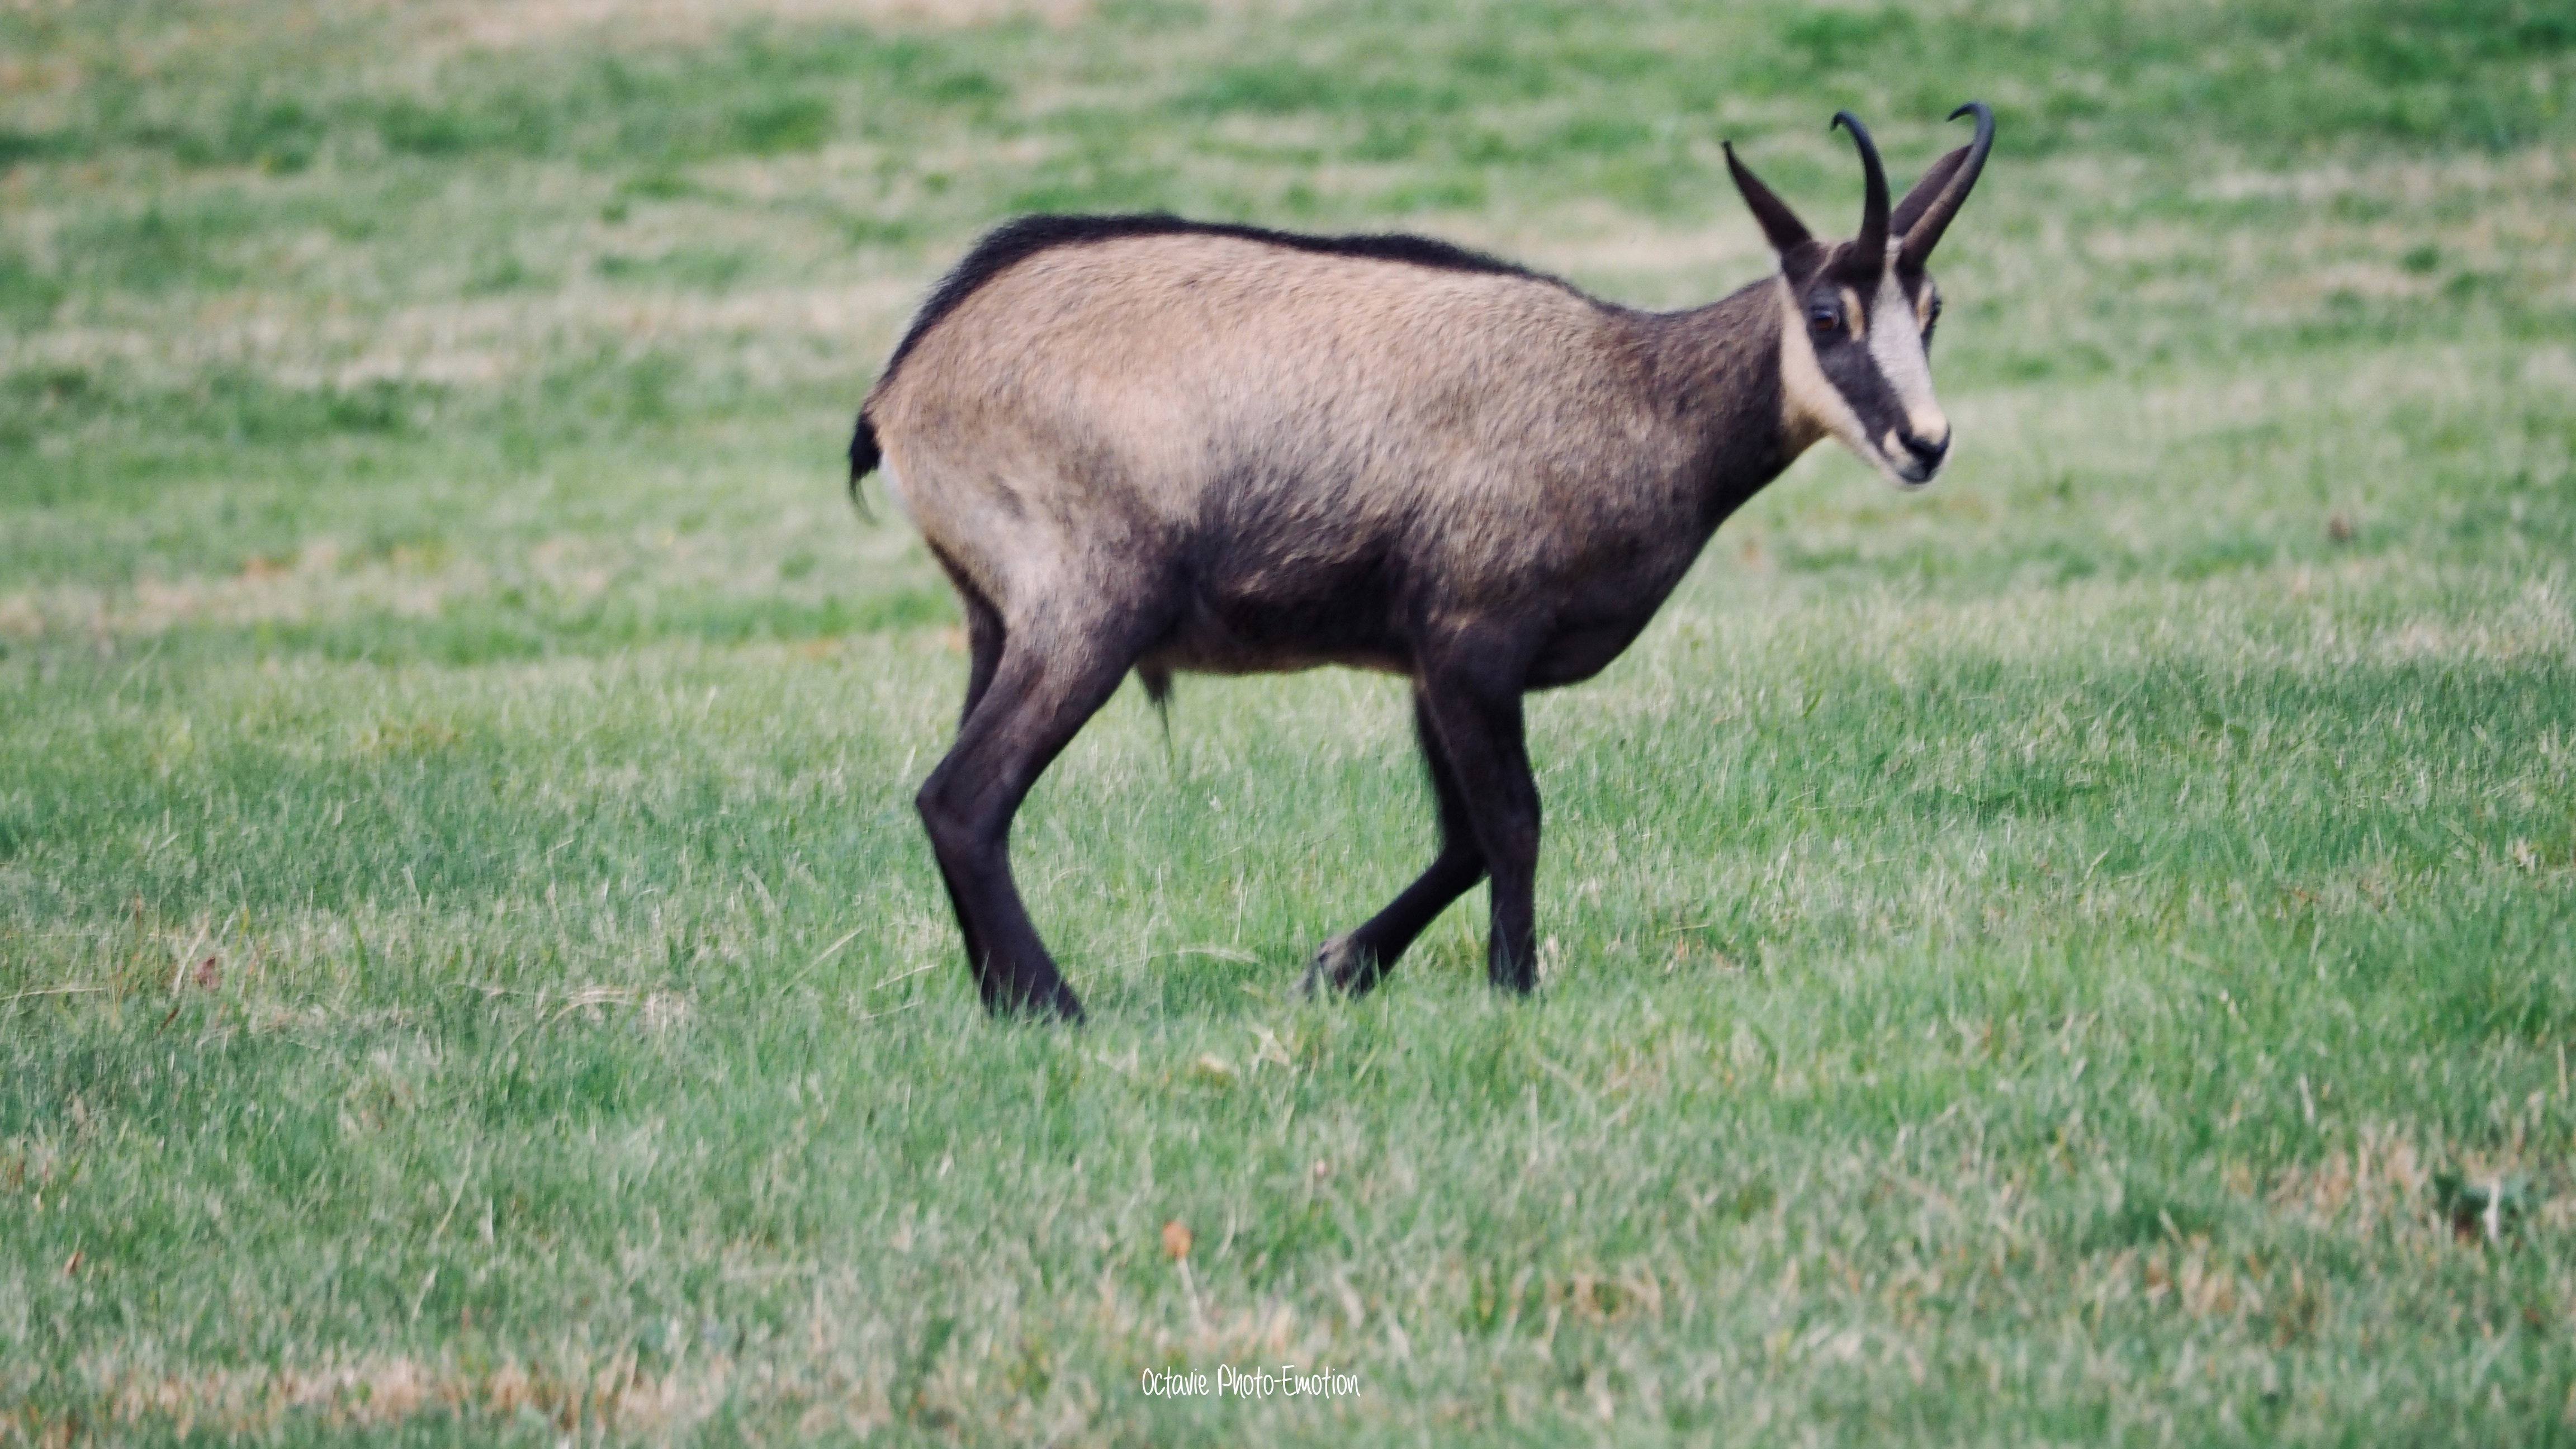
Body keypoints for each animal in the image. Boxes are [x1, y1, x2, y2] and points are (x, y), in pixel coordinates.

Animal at [851, 104, 1993, 1020]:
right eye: (1827, 314)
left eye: (1932, 311)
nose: (1925, 443)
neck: (1637, 397)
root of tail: (903, 384)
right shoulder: (1475, 637)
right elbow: (1512, 823)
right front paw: (1513, 985)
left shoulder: (1430, 663)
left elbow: (1463, 839)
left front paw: (1339, 969)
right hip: (1088, 605)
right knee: (966, 798)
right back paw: (1054, 1006)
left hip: (996, 621)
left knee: (956, 803)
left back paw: (998, 1000)